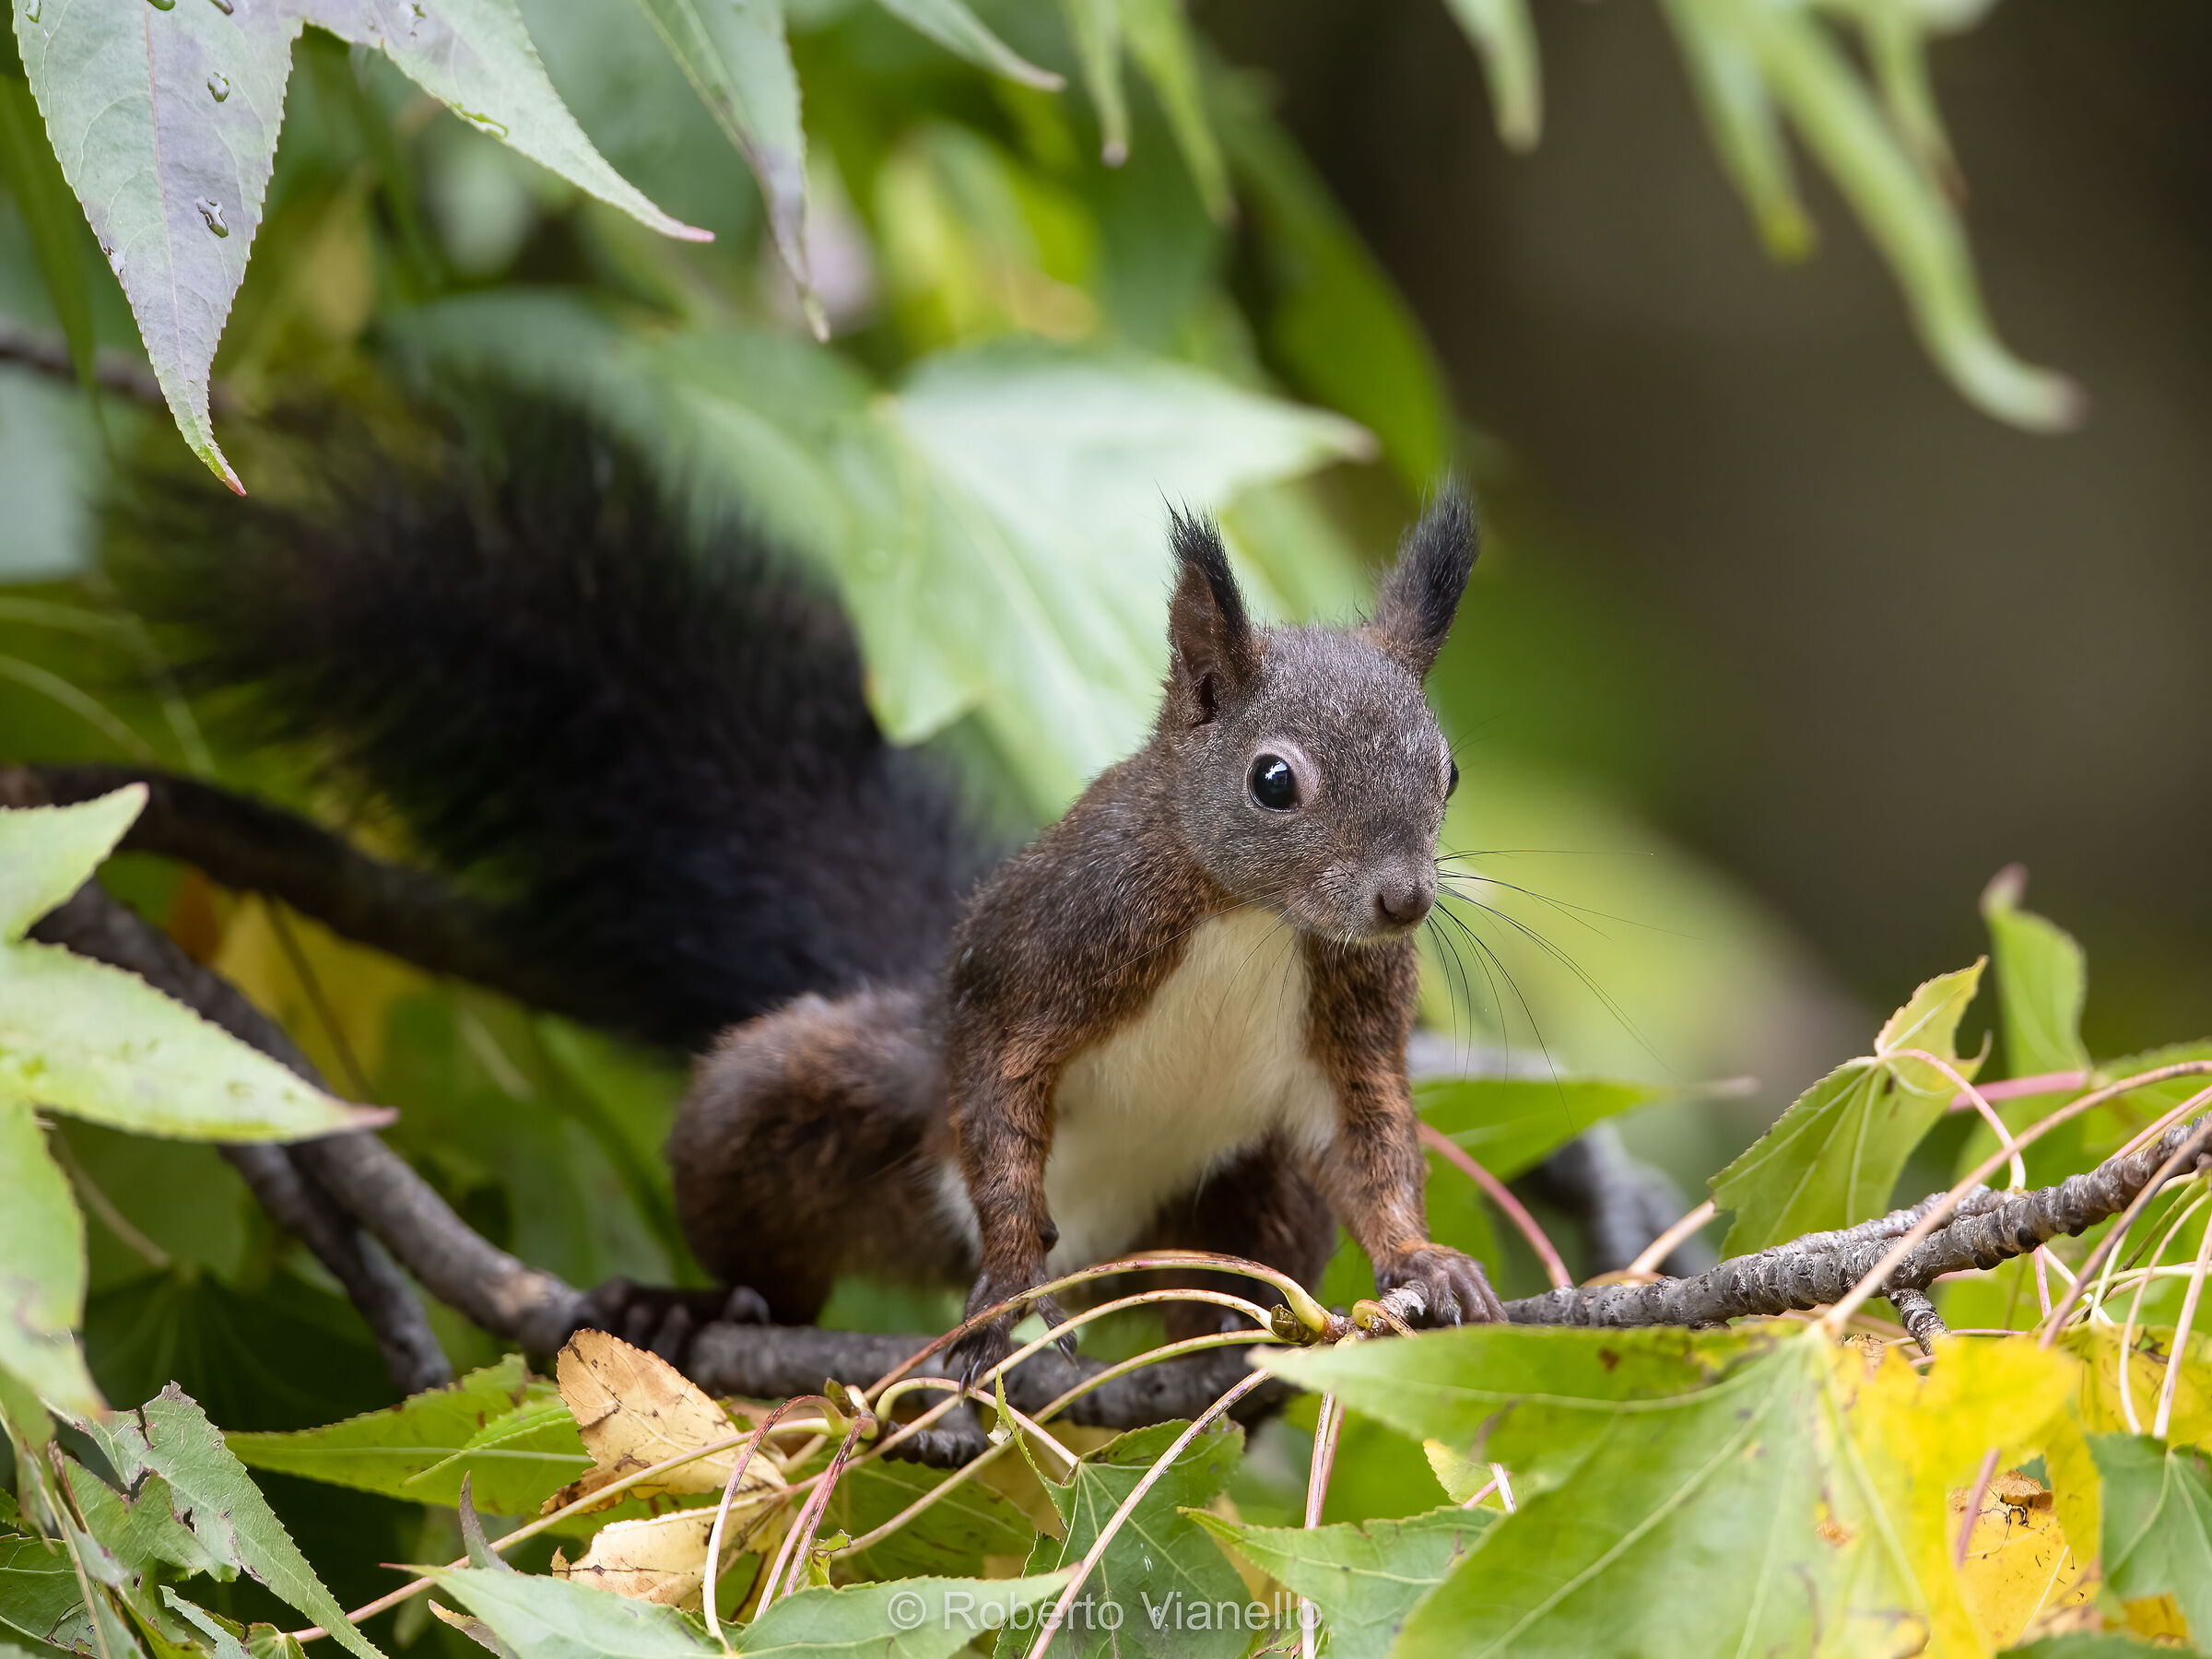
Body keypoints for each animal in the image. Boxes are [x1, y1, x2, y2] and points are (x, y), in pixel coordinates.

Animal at [109, 395, 1505, 1373]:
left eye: (1447, 772)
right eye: (1275, 781)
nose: (1402, 902)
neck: (1248, 920)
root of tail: (1109, 1247)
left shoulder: (1351, 1015)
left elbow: (1372, 1145)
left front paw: (1424, 1265)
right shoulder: (1051, 953)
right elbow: (1007, 1086)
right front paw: (1006, 1276)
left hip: (1235, 1194)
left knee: (1255, 1247)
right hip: (824, 1111)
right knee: (785, 1251)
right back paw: (696, 1304)